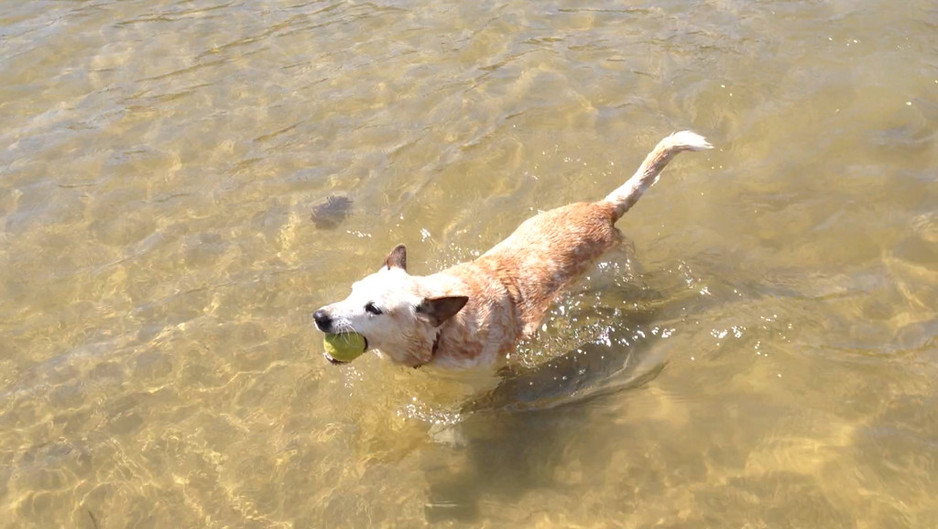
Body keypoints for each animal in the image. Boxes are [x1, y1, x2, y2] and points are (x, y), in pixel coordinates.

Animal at [314, 131, 708, 368]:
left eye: (373, 308)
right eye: (352, 291)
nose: (320, 316)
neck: (443, 331)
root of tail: (602, 208)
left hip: (617, 270)